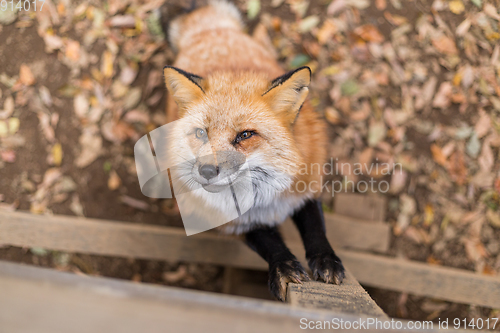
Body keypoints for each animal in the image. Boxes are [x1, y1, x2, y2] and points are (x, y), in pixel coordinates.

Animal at [164, 0, 344, 300]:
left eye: (245, 135)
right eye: (201, 133)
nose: (206, 170)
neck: (264, 200)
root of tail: (209, 31)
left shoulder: (305, 188)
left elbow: (316, 227)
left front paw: (325, 259)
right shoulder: (238, 225)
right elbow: (270, 245)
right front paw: (283, 268)